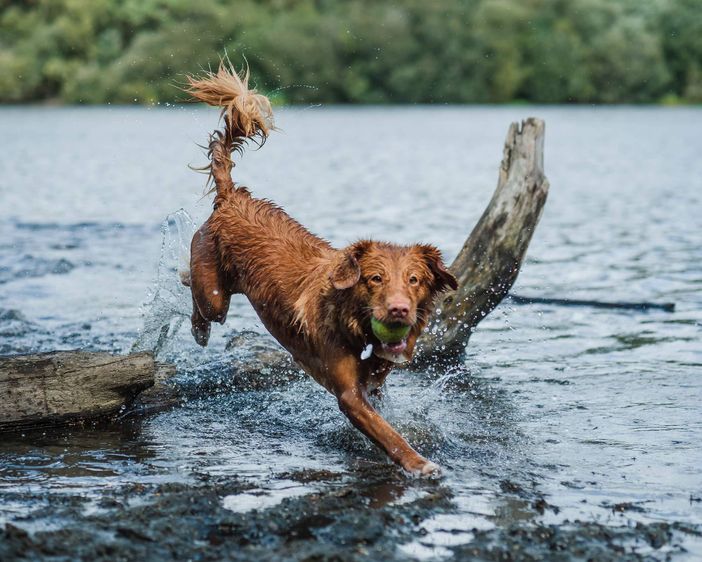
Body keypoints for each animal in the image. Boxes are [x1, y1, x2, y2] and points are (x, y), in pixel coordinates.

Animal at [184, 62, 460, 472]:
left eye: (414, 280)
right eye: (375, 278)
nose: (399, 310)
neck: (356, 324)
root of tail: (233, 197)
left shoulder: (374, 381)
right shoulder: (348, 394)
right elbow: (389, 435)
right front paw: (419, 464)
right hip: (214, 291)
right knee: (198, 296)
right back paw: (197, 324)